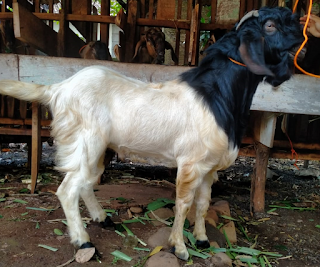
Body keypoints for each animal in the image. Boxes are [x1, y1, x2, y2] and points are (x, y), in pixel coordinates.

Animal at [0, 5, 304, 262]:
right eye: (270, 26)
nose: (301, 39)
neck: (218, 95)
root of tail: (58, 89)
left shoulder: (209, 166)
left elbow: (203, 203)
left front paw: (202, 239)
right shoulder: (191, 163)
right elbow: (183, 203)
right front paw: (180, 247)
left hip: (96, 147)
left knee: (85, 183)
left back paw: (103, 218)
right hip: (85, 142)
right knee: (68, 189)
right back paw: (83, 241)